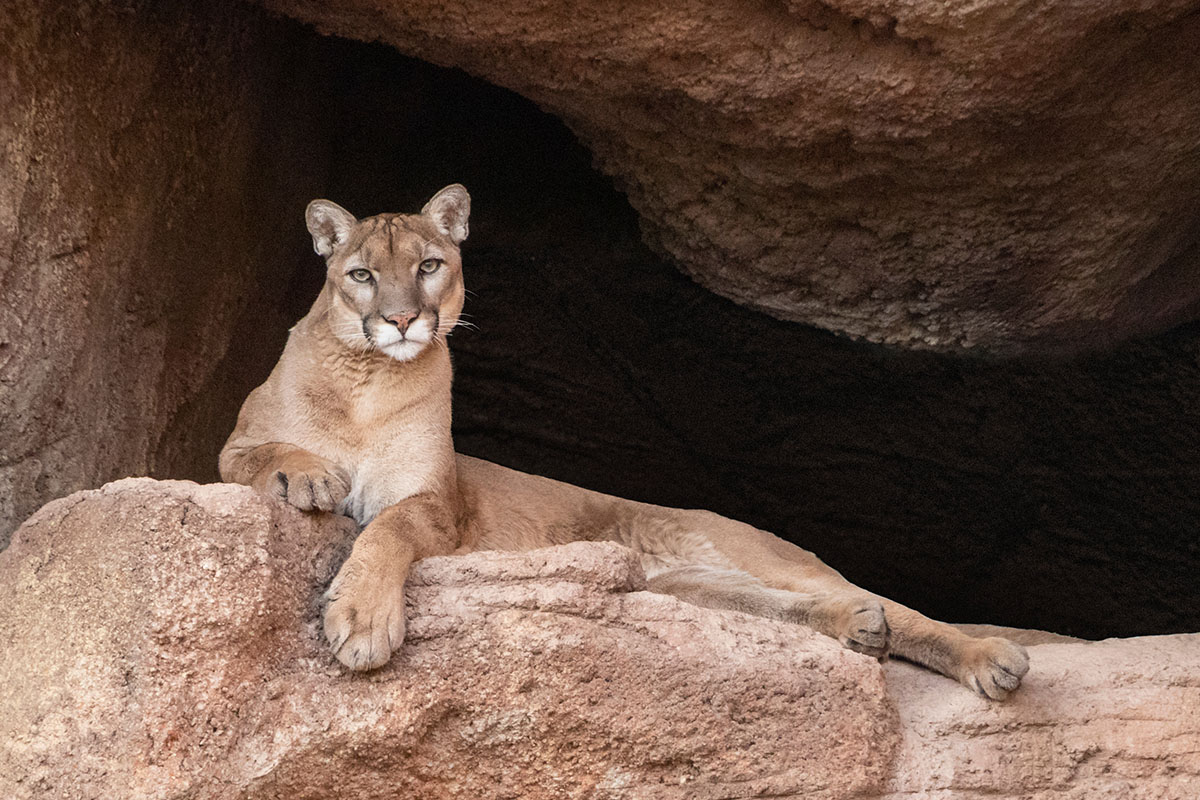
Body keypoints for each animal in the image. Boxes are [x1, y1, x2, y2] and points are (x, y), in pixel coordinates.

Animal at [220, 184, 1027, 695]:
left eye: (428, 266)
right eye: (360, 274)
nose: (399, 321)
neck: (368, 385)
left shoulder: (434, 502)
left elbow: (386, 530)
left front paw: (360, 619)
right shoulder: (231, 446)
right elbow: (260, 455)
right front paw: (311, 477)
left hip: (755, 555)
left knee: (895, 607)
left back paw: (990, 658)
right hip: (686, 590)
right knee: (797, 610)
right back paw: (860, 629)